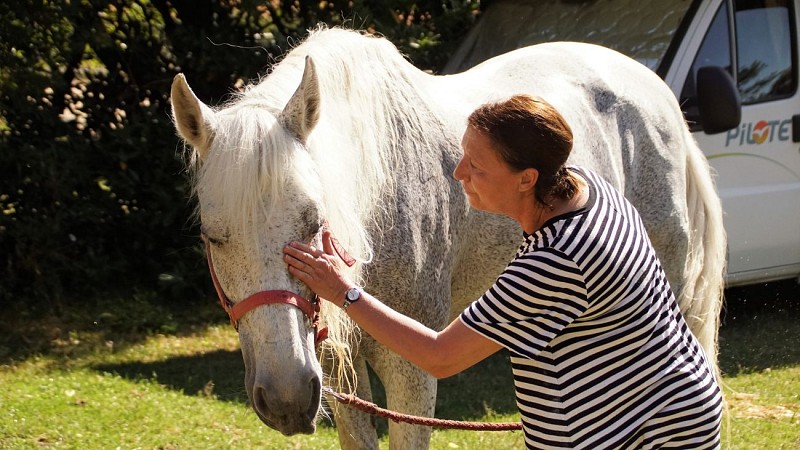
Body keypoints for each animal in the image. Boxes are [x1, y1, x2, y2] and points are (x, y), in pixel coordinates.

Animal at [170, 26, 724, 448]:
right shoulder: (334, 368)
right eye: (213, 238)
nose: (285, 398)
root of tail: (657, 91)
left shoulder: (411, 371)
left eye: (314, 224)